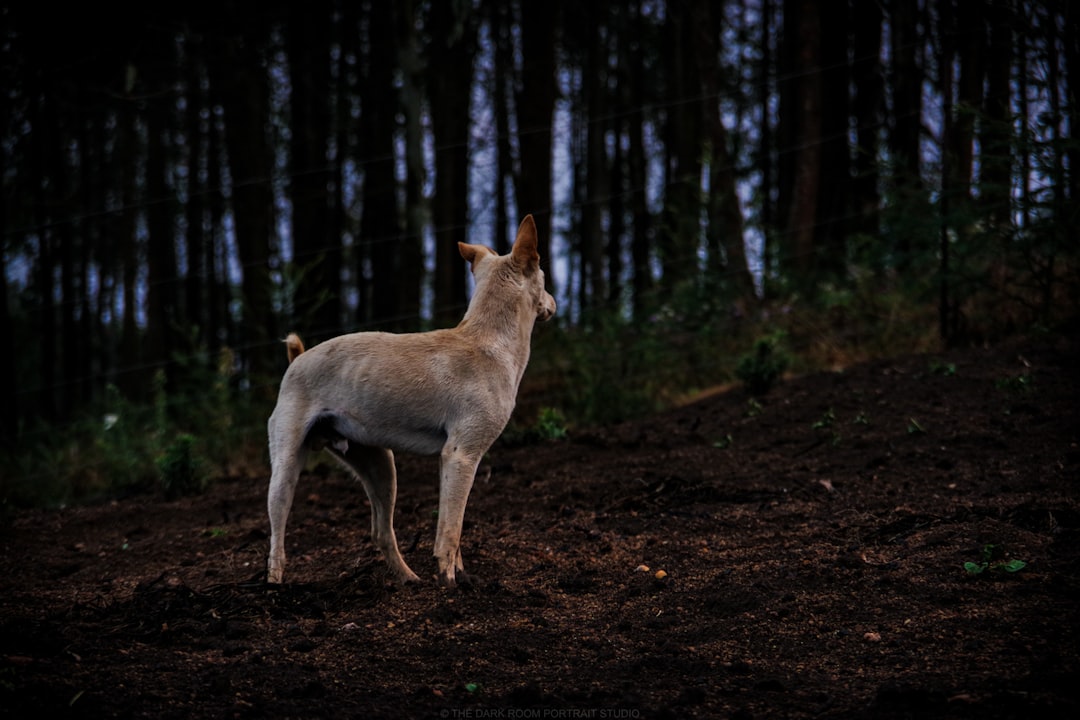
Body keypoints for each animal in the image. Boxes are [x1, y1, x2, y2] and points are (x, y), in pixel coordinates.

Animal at [263, 213, 557, 587]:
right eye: (544, 277)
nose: (554, 303)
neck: (489, 342)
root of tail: (296, 359)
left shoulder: (451, 462)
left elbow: (454, 528)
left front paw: (460, 575)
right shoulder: (462, 456)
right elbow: (450, 532)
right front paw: (449, 584)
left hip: (380, 464)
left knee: (381, 532)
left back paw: (409, 580)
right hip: (286, 466)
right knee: (277, 534)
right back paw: (275, 583)